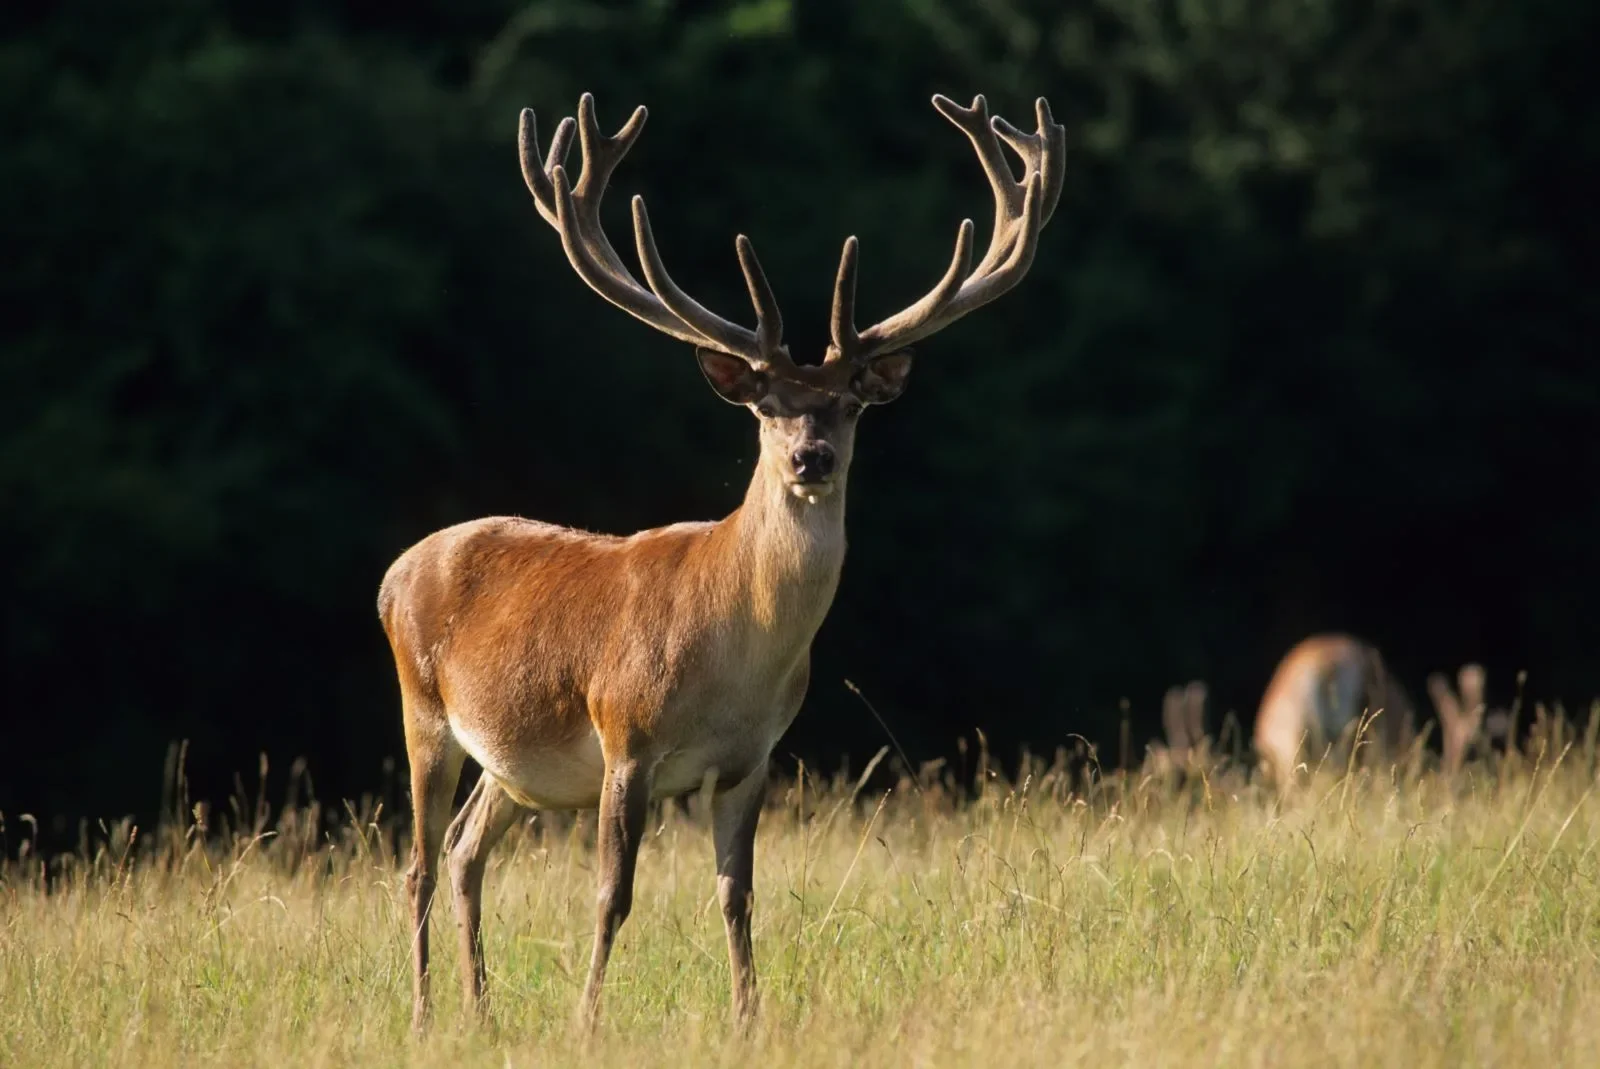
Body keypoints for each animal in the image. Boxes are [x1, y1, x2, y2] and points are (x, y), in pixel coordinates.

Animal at [377, 94, 1062, 1036]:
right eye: (766, 405)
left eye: (851, 404)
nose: (811, 456)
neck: (734, 657)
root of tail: (393, 572)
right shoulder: (625, 734)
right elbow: (611, 895)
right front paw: (587, 1019)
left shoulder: (752, 758)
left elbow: (737, 896)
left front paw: (748, 1016)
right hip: (424, 709)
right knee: (415, 863)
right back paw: (422, 1014)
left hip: (510, 764)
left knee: (464, 850)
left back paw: (481, 1012)